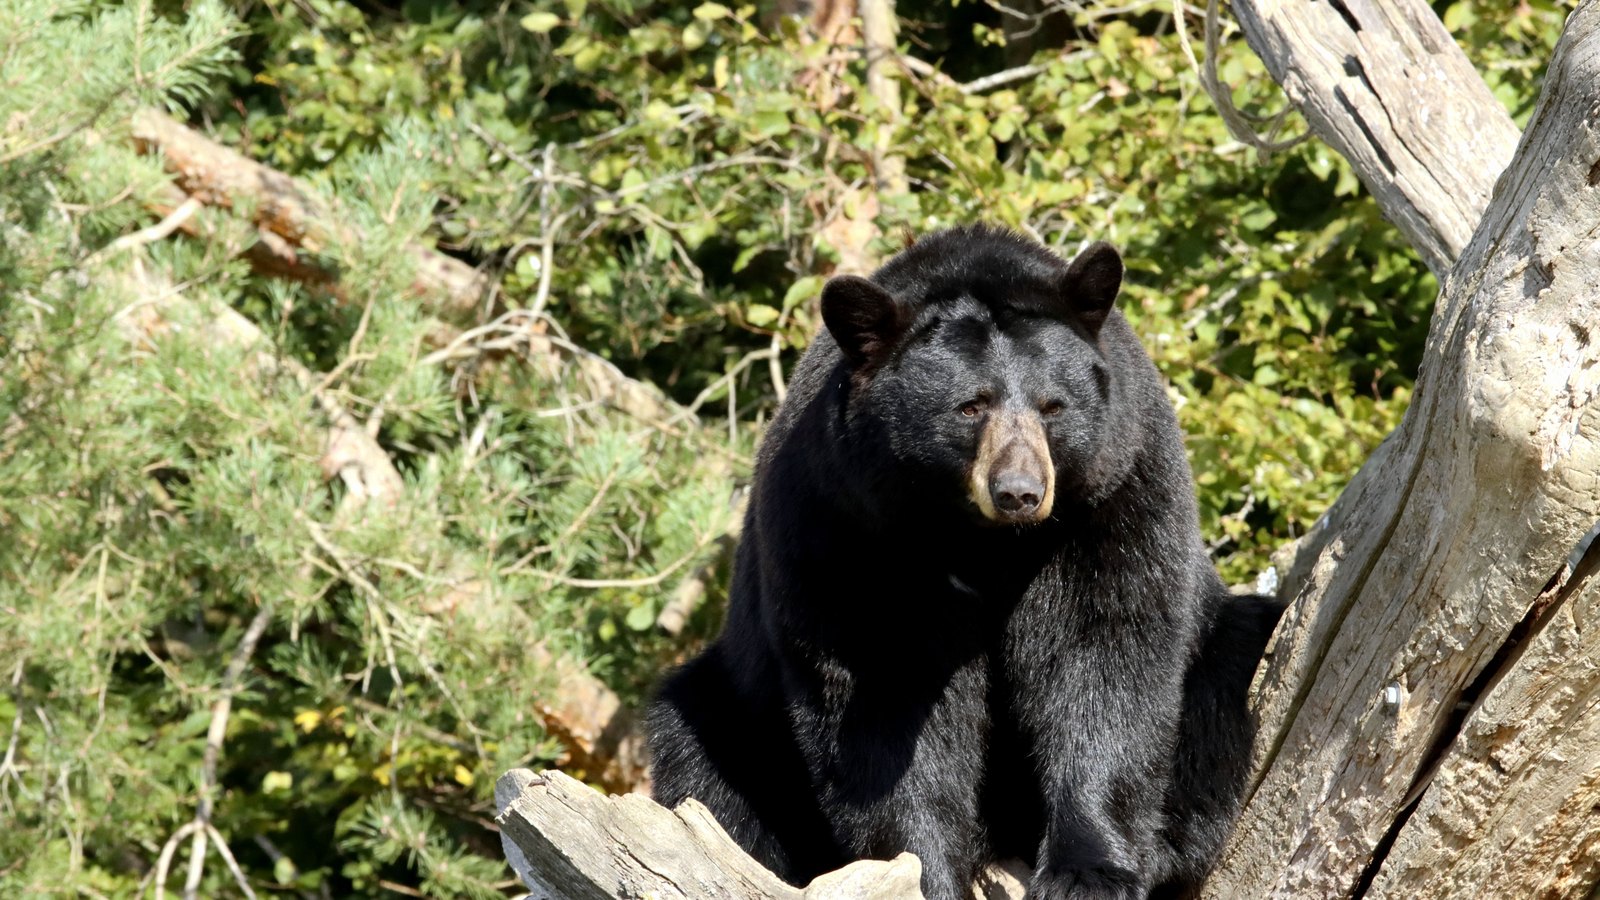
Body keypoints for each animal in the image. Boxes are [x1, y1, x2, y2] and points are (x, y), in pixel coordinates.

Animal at [646, 225, 1284, 900]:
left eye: (1053, 406)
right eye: (970, 407)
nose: (1020, 491)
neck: (980, 537)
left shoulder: (1115, 491)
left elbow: (1105, 655)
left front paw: (1089, 870)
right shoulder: (845, 522)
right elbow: (884, 697)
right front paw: (923, 870)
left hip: (1220, 641)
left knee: (1225, 678)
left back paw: (1167, 848)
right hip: (739, 710)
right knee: (703, 758)